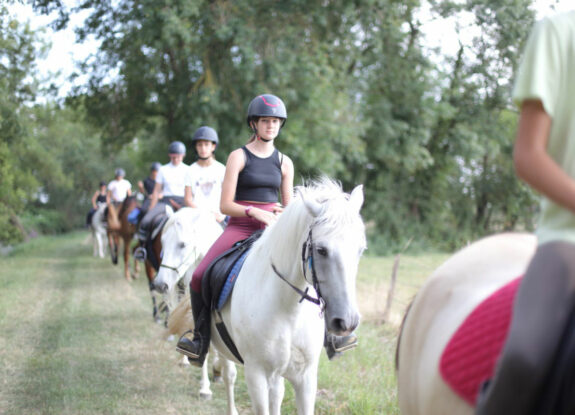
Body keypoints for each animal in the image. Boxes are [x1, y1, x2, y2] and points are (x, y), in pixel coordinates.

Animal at [171, 179, 366, 415]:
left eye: (360, 250)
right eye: (321, 250)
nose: (347, 322)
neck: (288, 308)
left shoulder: (306, 378)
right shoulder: (257, 375)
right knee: (227, 374)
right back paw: (208, 389)